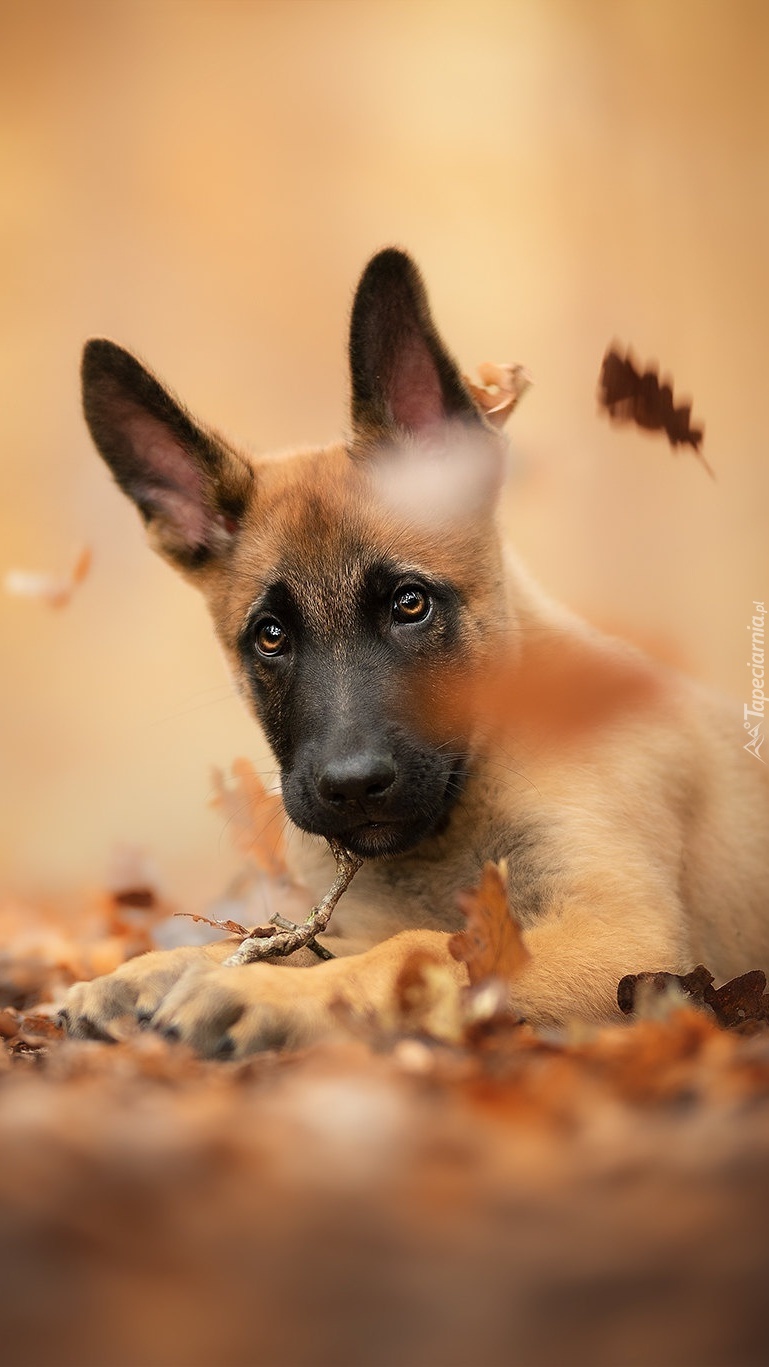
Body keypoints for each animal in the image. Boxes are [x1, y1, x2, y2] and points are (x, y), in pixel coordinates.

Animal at [64, 248, 769, 1055]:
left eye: (410, 603)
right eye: (269, 635)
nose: (351, 786)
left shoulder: (624, 941)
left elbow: (420, 949)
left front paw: (261, 992)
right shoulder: (355, 919)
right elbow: (280, 938)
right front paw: (157, 970)